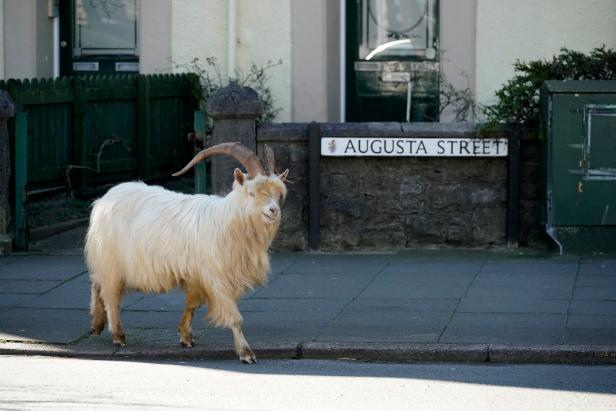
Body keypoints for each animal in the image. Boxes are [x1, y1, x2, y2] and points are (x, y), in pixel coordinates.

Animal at [84, 144, 288, 364]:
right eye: (251, 193)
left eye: (278, 194)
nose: (273, 210)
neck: (229, 223)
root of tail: (104, 199)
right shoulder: (217, 278)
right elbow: (234, 316)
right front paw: (246, 352)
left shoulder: (197, 276)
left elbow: (192, 304)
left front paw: (185, 336)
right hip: (111, 259)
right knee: (110, 294)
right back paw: (118, 335)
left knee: (97, 283)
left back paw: (96, 325)